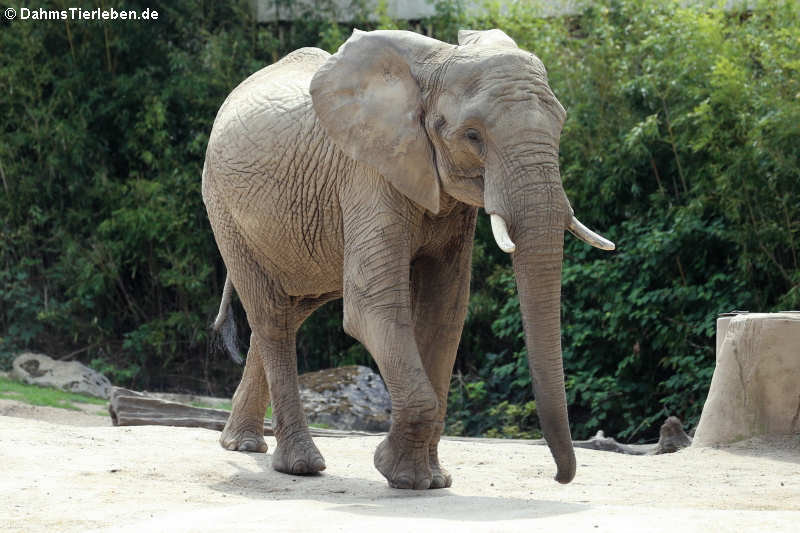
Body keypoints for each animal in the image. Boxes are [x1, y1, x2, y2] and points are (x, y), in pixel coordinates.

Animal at [202, 27, 612, 488]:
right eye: (473, 136)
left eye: (560, 123)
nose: (559, 477)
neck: (438, 66)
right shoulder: (369, 174)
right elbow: (371, 307)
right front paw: (401, 475)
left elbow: (444, 310)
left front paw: (430, 480)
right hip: (223, 207)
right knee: (271, 315)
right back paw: (301, 465)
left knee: (288, 311)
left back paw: (242, 445)